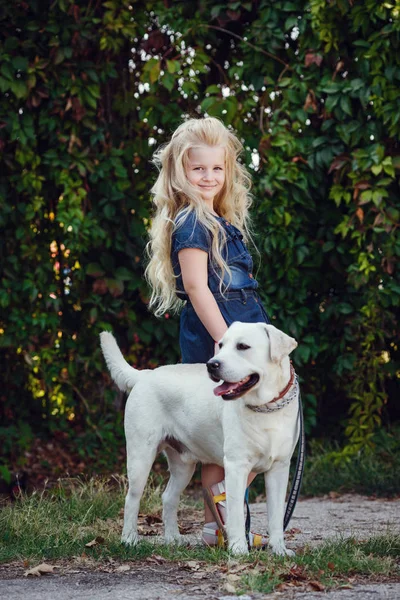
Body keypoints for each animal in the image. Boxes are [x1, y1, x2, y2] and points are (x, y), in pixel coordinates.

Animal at [100, 322, 298, 556]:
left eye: (243, 346)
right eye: (221, 345)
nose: (212, 365)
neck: (266, 408)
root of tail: (145, 375)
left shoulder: (279, 469)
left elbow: (276, 516)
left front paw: (279, 550)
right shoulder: (236, 466)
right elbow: (236, 514)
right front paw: (239, 549)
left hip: (183, 466)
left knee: (169, 497)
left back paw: (173, 538)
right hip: (140, 457)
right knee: (132, 498)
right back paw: (129, 539)